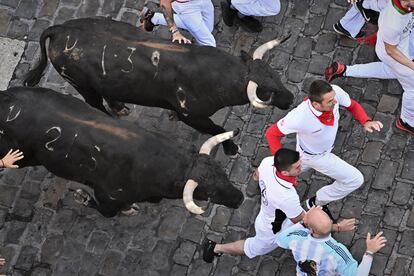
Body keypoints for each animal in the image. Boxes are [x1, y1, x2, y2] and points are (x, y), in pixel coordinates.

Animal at [0, 87, 244, 217]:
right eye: (206, 192)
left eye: (223, 173)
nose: (239, 198)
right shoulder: (107, 195)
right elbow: (105, 211)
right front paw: (83, 198)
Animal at [24, 17, 294, 156]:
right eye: (267, 91)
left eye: (275, 75)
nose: (291, 98)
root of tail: (60, 29)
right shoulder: (193, 116)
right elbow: (217, 128)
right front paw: (230, 146)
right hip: (81, 85)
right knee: (95, 104)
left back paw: (120, 107)